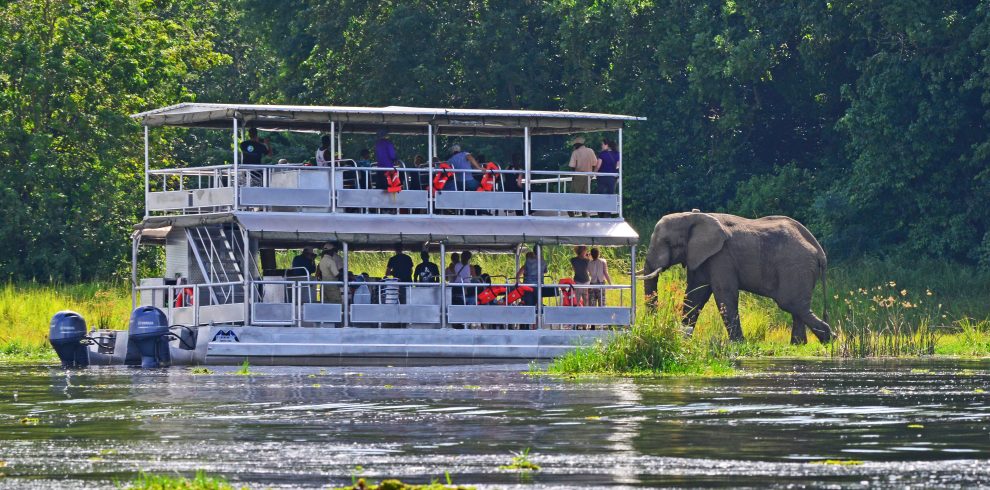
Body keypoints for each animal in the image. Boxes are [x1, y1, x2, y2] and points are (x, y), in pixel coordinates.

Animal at [636, 211, 828, 344]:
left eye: (669, 243)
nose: (652, 325)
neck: (693, 216)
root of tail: (820, 252)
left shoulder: (721, 256)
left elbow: (724, 294)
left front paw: (737, 343)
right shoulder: (700, 256)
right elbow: (695, 294)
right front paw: (683, 337)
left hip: (796, 267)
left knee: (790, 304)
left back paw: (827, 339)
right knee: (797, 307)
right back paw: (799, 345)